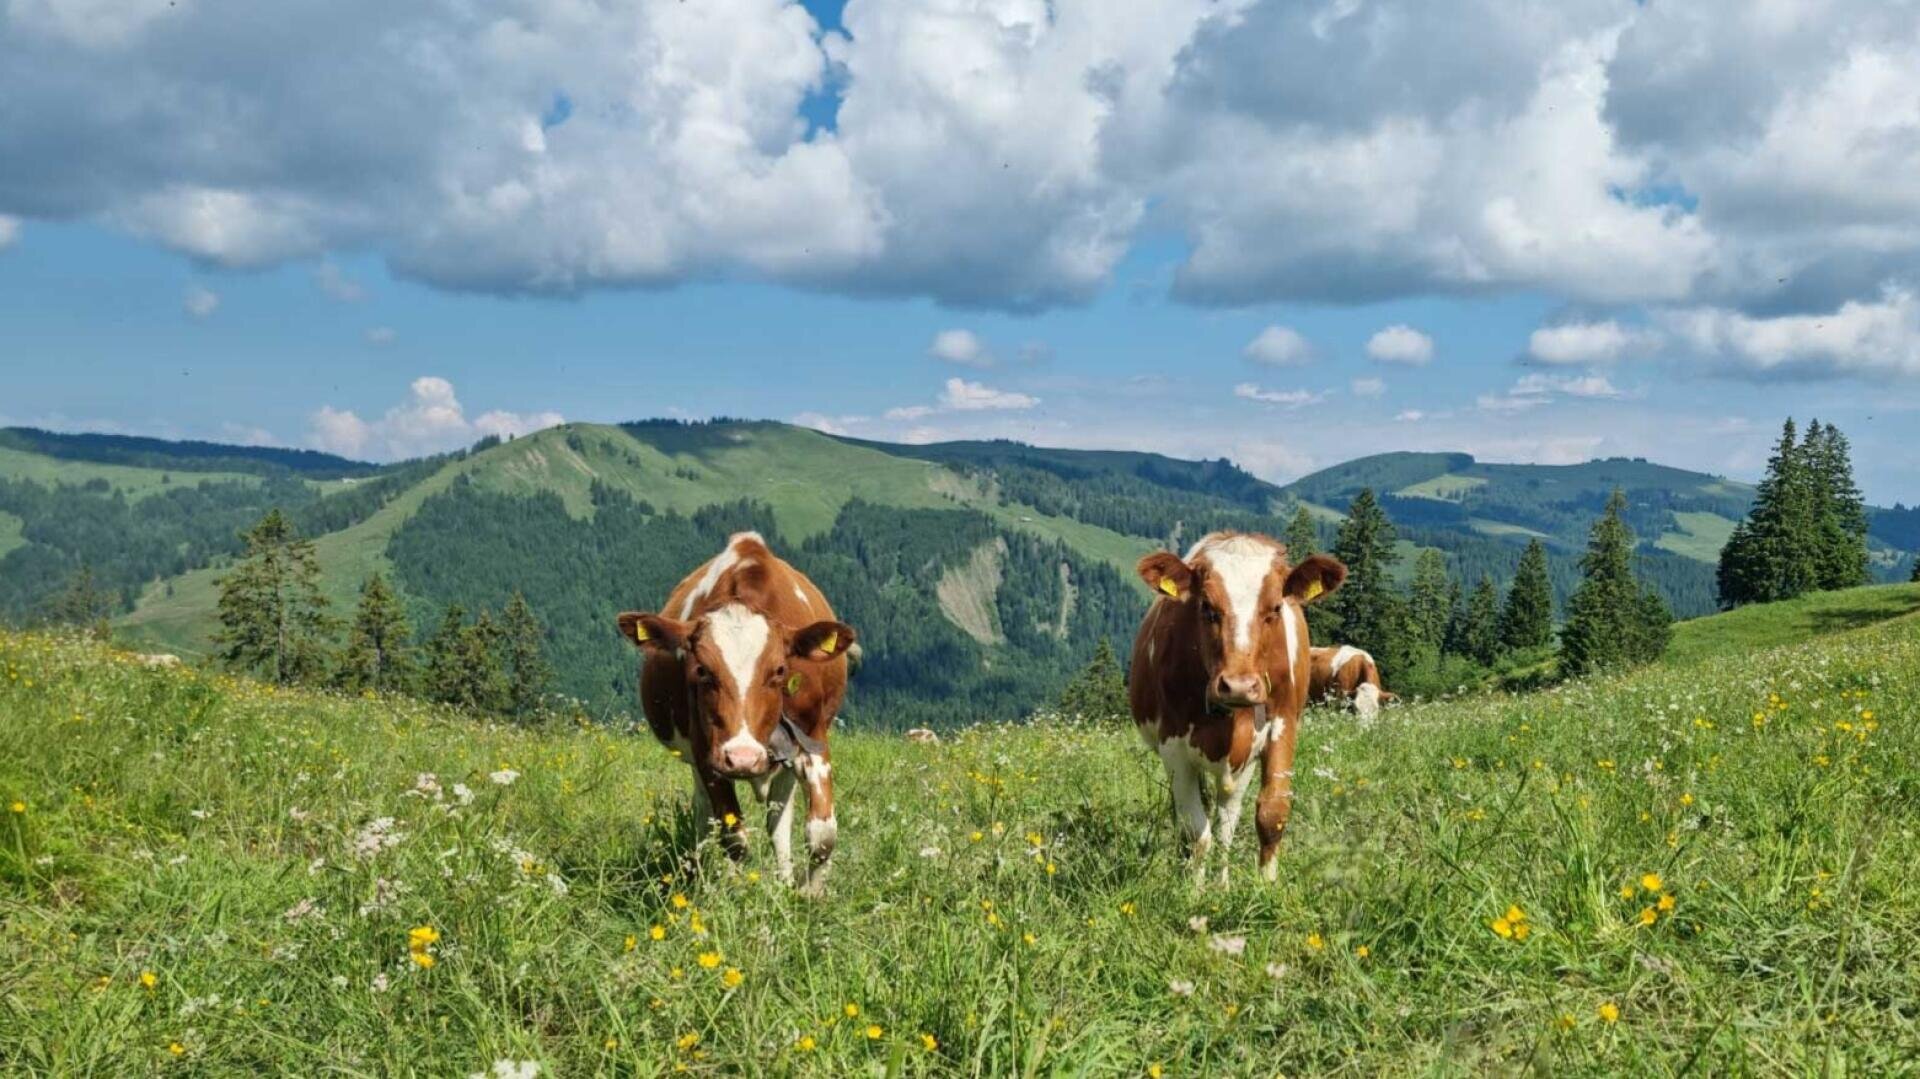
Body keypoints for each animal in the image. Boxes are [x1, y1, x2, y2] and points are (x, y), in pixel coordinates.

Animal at [616, 532, 856, 895]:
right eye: (702, 670)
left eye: (779, 670)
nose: (743, 757)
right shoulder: (707, 753)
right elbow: (734, 838)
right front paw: (734, 892)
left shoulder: (814, 737)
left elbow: (822, 836)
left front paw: (809, 895)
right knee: (704, 817)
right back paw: (700, 877)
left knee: (778, 817)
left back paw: (785, 879)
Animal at [1129, 532, 1346, 885]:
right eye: (1206, 606)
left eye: (1275, 607)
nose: (1239, 685)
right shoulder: (1173, 745)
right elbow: (1195, 830)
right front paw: (1193, 889)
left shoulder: (1283, 725)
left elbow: (1270, 814)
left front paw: (1265, 886)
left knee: (1226, 822)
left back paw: (1223, 882)